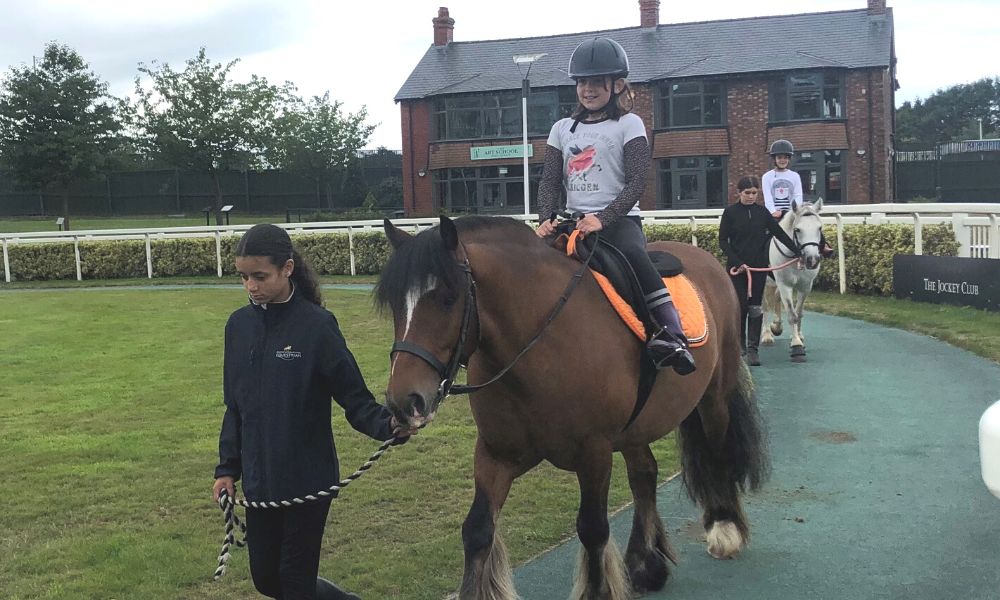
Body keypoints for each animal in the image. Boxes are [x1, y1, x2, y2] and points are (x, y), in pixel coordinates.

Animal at [378, 217, 768, 600]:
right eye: (396, 304)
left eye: (447, 298)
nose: (404, 400)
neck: (538, 344)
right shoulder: (496, 454)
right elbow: (477, 530)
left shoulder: (594, 452)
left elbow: (592, 529)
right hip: (635, 428)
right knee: (645, 474)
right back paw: (645, 564)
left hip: (713, 399)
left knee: (717, 453)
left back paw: (724, 527)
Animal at [760, 200, 824, 360]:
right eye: (798, 229)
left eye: (819, 228)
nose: (812, 260)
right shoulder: (785, 285)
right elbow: (791, 313)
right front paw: (796, 344)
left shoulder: (806, 286)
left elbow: (799, 312)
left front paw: (798, 336)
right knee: (764, 306)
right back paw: (767, 335)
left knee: (776, 298)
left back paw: (776, 326)